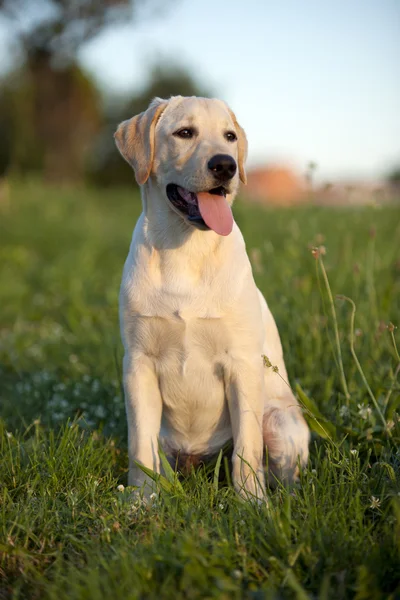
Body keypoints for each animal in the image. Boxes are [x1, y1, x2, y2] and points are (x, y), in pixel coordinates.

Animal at [114, 96, 310, 500]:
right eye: (184, 132)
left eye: (230, 136)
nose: (225, 165)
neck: (186, 250)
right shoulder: (138, 364)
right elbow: (140, 447)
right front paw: (142, 502)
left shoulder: (242, 364)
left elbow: (246, 450)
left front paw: (251, 504)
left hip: (279, 421)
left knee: (278, 471)